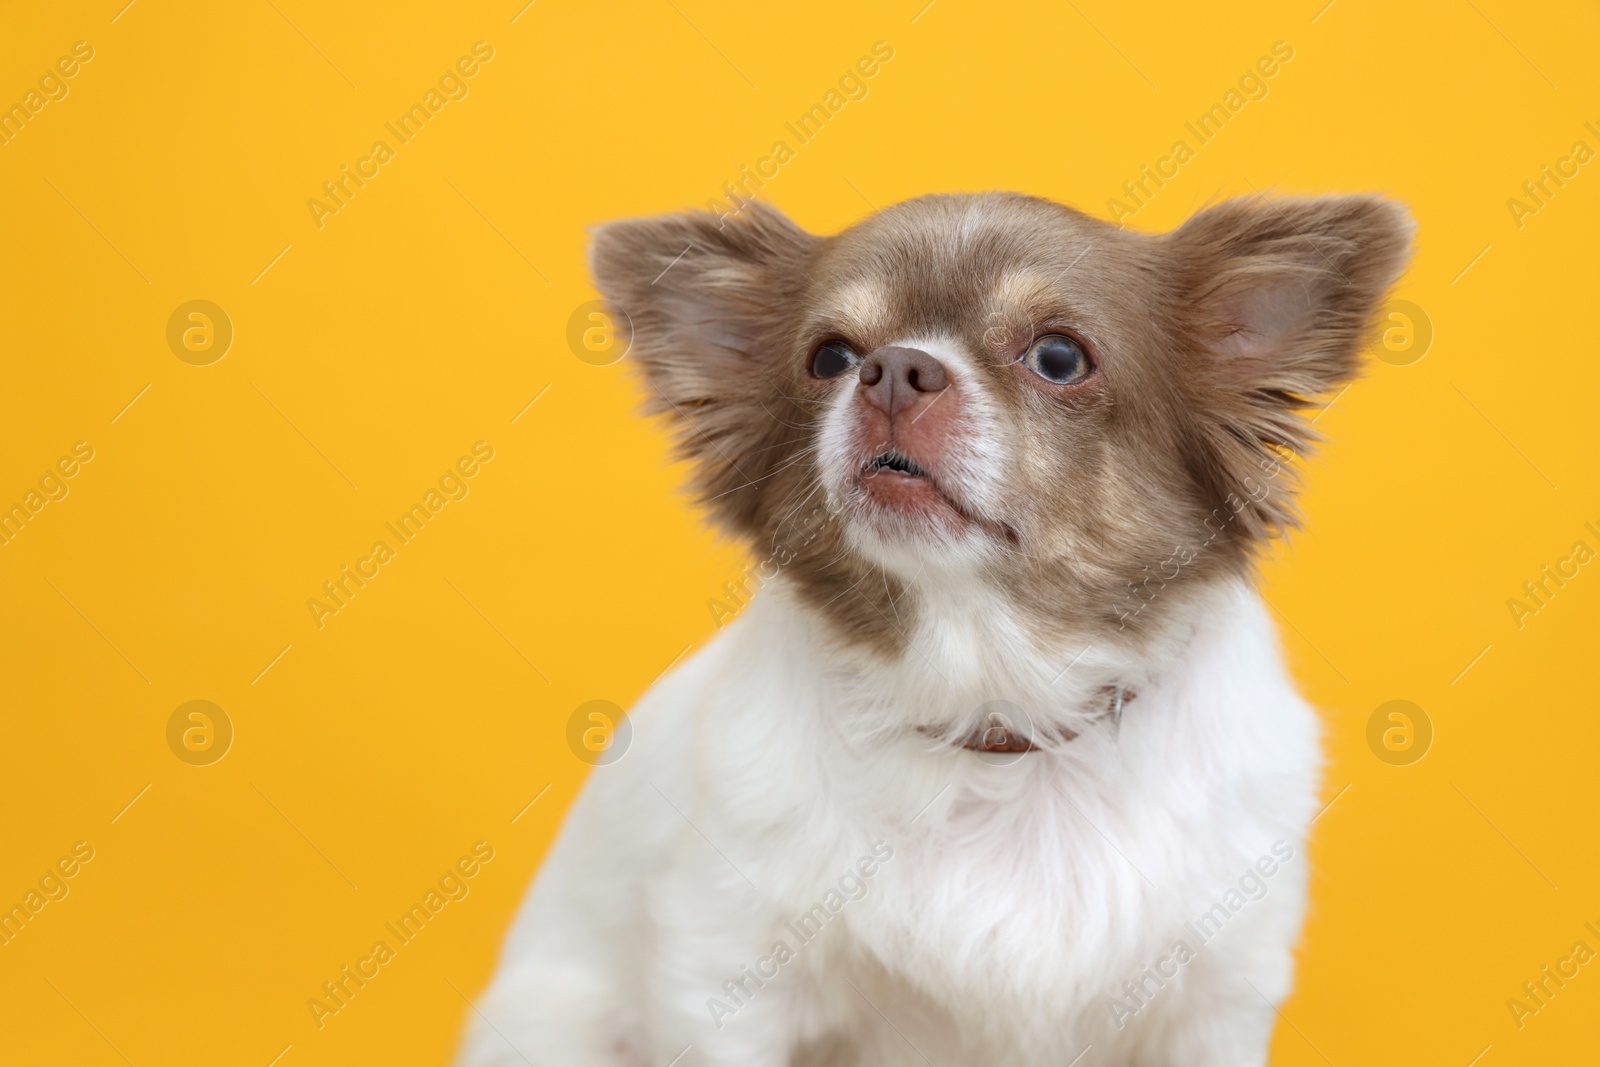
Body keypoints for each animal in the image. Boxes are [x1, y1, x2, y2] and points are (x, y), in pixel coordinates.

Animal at [460, 187, 1414, 1062]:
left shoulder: (1214, 1002)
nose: (891, 369)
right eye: (829, 356)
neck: (995, 709)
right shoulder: (723, 979)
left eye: (1059, 357)